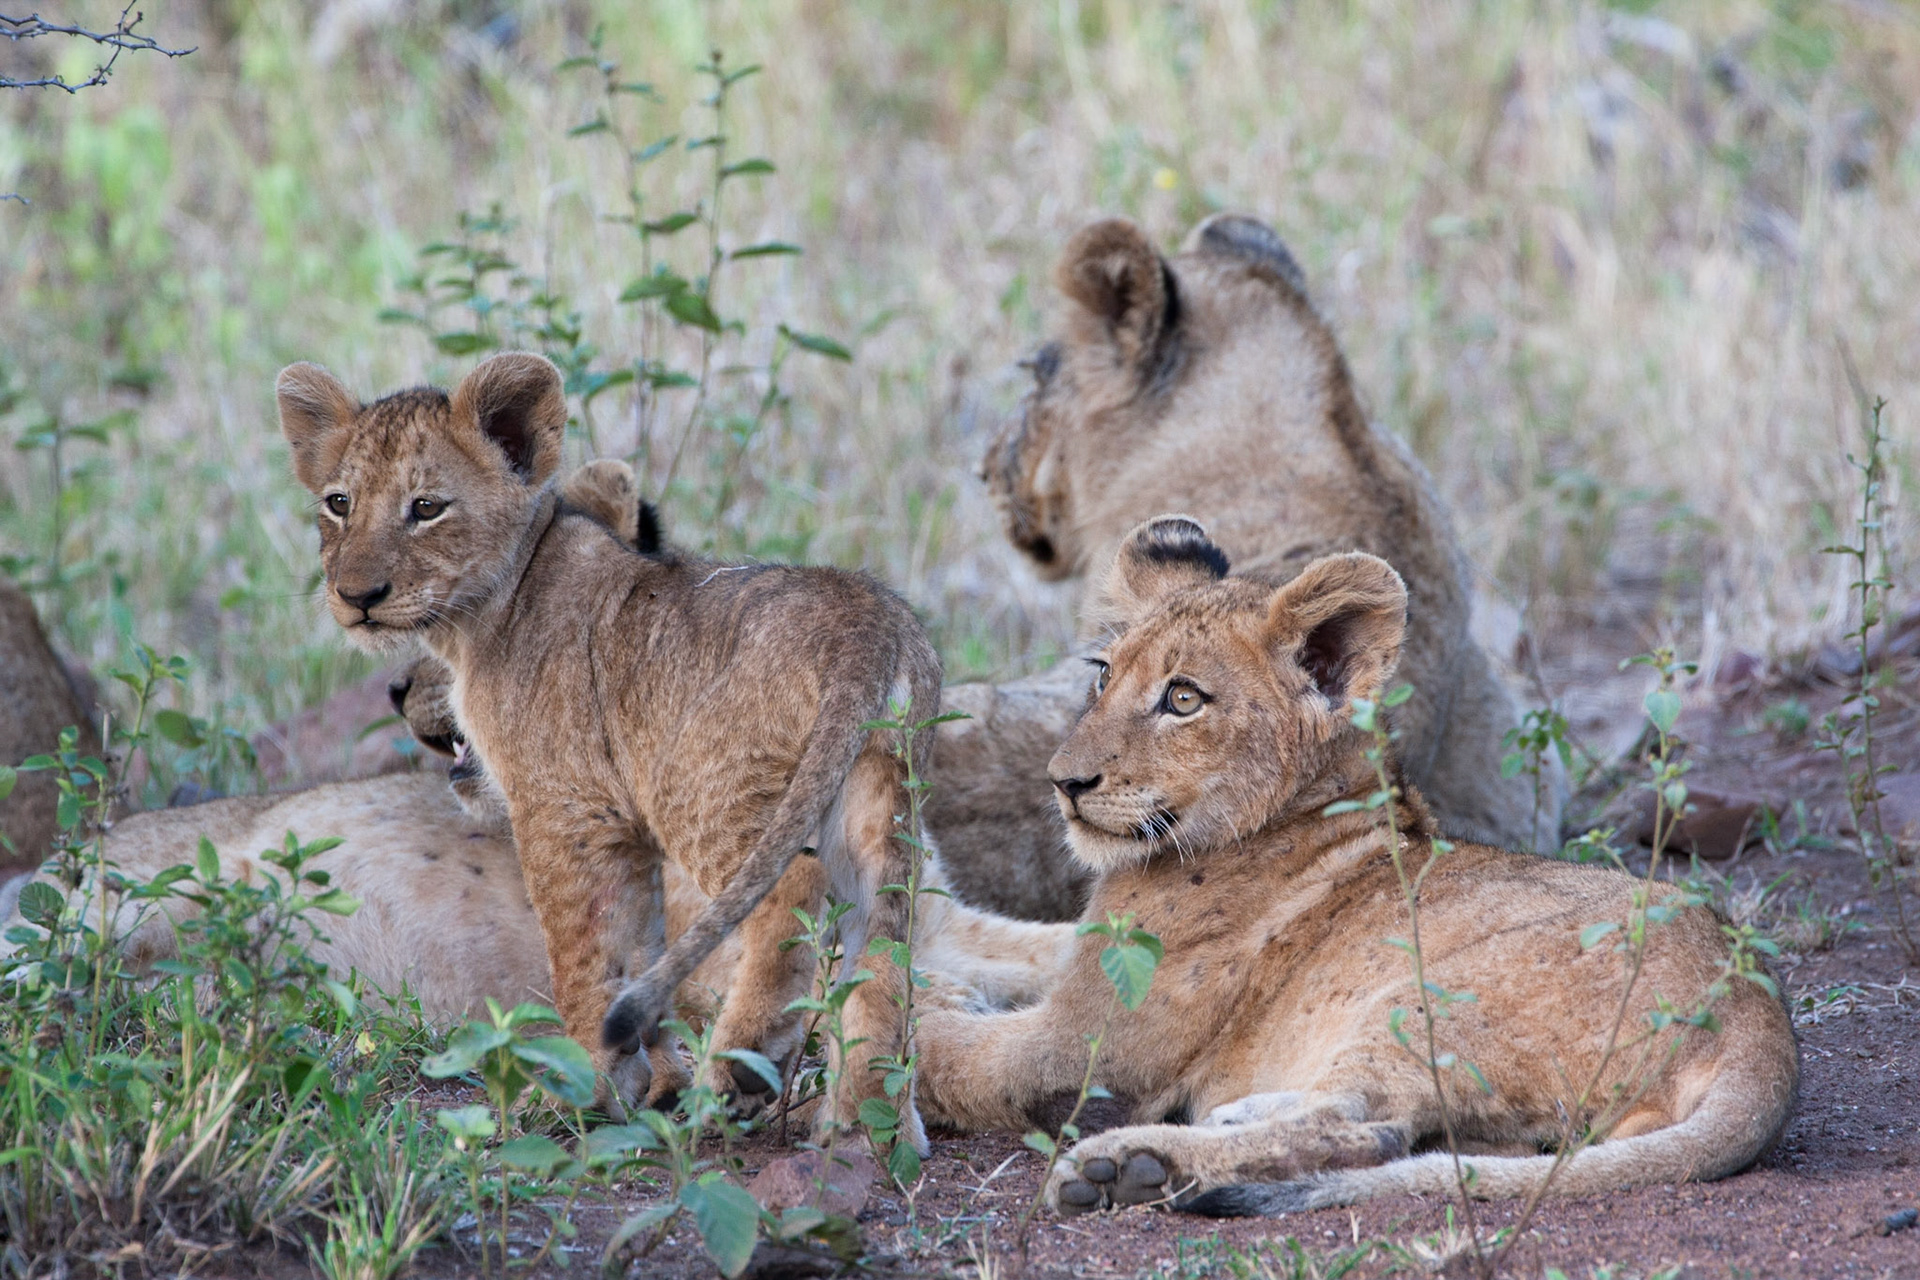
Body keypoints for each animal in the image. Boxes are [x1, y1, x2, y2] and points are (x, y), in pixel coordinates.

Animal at [278, 352, 962, 1144]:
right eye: (338, 503)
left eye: (426, 507)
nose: (357, 596)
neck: (482, 618)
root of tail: (867, 623)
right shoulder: (622, 827)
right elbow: (633, 947)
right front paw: (643, 1085)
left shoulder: (565, 808)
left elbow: (580, 953)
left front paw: (578, 1088)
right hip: (881, 802)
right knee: (884, 946)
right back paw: (865, 1126)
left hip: (701, 785)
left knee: (792, 887)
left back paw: (741, 1066)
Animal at [913, 517, 1797, 1216]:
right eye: (1102, 675)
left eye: (1184, 699)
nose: (1064, 782)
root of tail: (1758, 1015)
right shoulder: (1075, 957)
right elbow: (994, 957)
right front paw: (931, 978)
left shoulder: (1090, 1051)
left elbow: (953, 1057)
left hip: (1426, 997)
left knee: (1367, 1129)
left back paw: (1133, 1165)